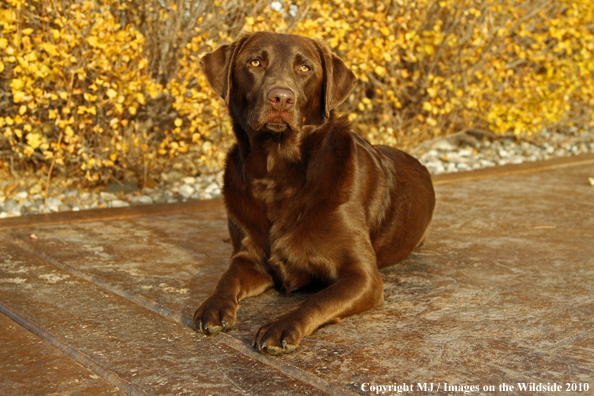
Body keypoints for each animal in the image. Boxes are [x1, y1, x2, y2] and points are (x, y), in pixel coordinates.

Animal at [194, 31, 434, 356]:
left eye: (305, 68)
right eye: (255, 62)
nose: (281, 98)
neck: (277, 172)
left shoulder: (363, 276)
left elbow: (318, 299)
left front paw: (282, 326)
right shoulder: (248, 258)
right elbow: (226, 278)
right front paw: (214, 306)